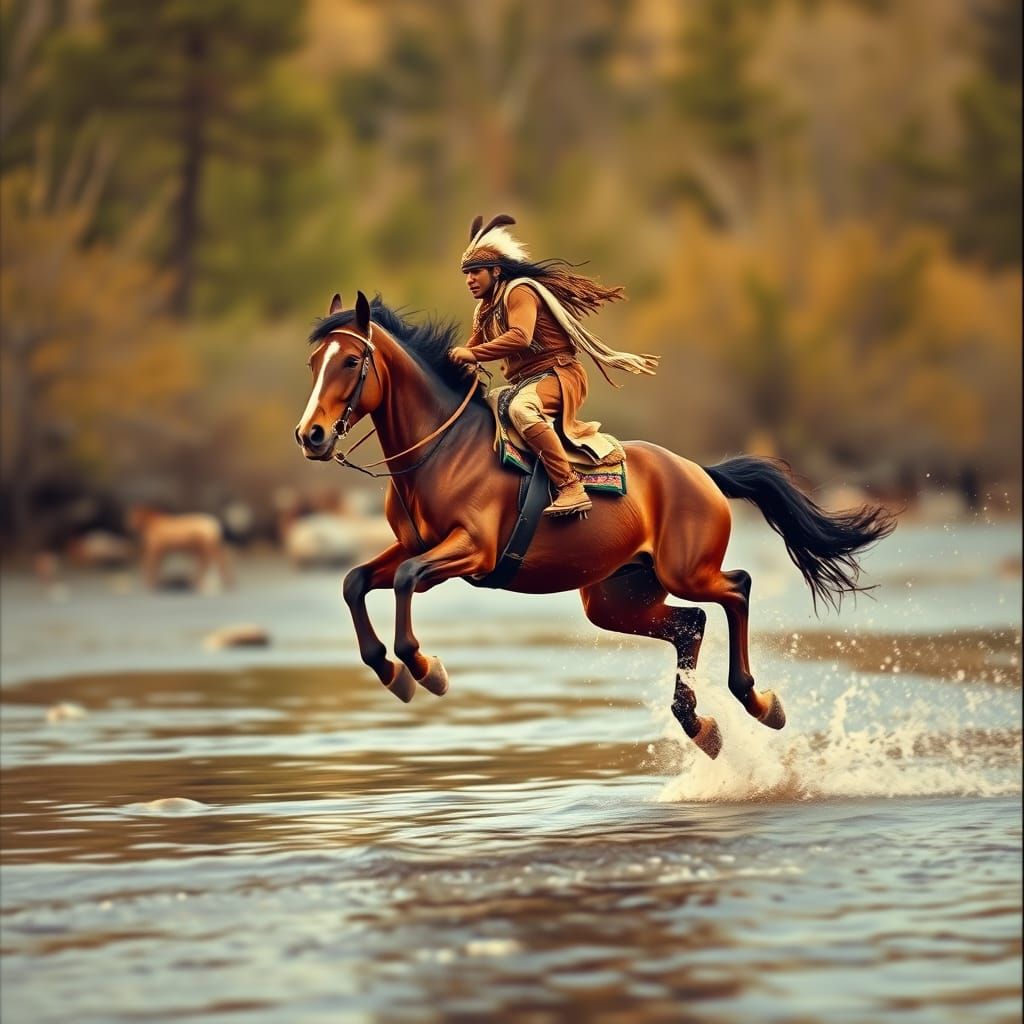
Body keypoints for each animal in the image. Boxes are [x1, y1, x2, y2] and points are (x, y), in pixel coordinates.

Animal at [294, 291, 895, 759]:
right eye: (314, 362)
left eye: (351, 361)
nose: (311, 435)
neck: (441, 451)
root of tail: (701, 472)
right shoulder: (412, 545)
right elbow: (355, 582)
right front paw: (393, 672)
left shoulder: (470, 551)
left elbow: (402, 582)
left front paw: (423, 668)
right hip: (615, 598)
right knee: (692, 624)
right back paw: (701, 727)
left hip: (686, 571)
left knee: (737, 590)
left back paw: (759, 703)